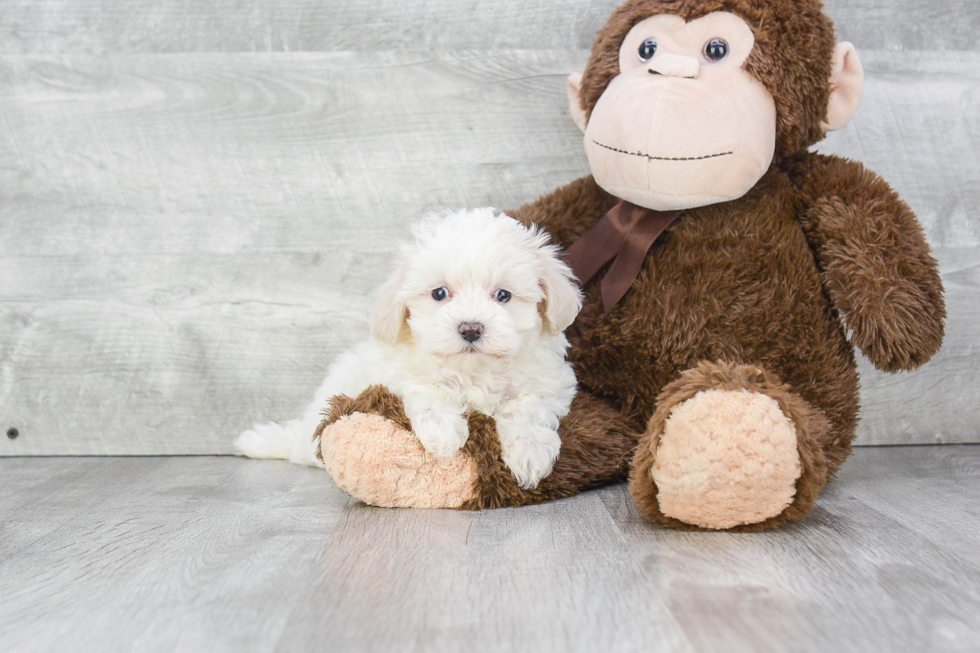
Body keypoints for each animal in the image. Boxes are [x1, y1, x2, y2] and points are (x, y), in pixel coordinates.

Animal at [236, 209, 580, 488]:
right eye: (439, 293)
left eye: (503, 295)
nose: (470, 328)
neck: (474, 369)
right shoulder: (398, 372)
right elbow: (426, 390)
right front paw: (443, 435)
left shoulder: (549, 381)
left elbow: (530, 407)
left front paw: (531, 453)